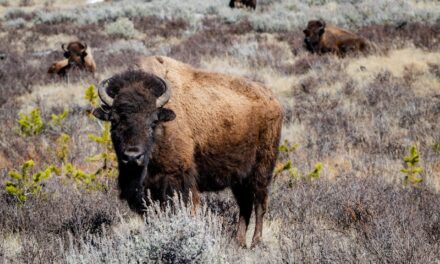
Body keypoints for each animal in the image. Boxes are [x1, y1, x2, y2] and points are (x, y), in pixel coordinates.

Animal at [93, 55, 284, 248]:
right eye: (114, 120)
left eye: (153, 121)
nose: (132, 157)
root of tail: (273, 100)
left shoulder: (178, 179)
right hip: (239, 178)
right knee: (245, 205)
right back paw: (239, 242)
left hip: (262, 169)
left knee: (260, 203)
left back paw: (256, 242)